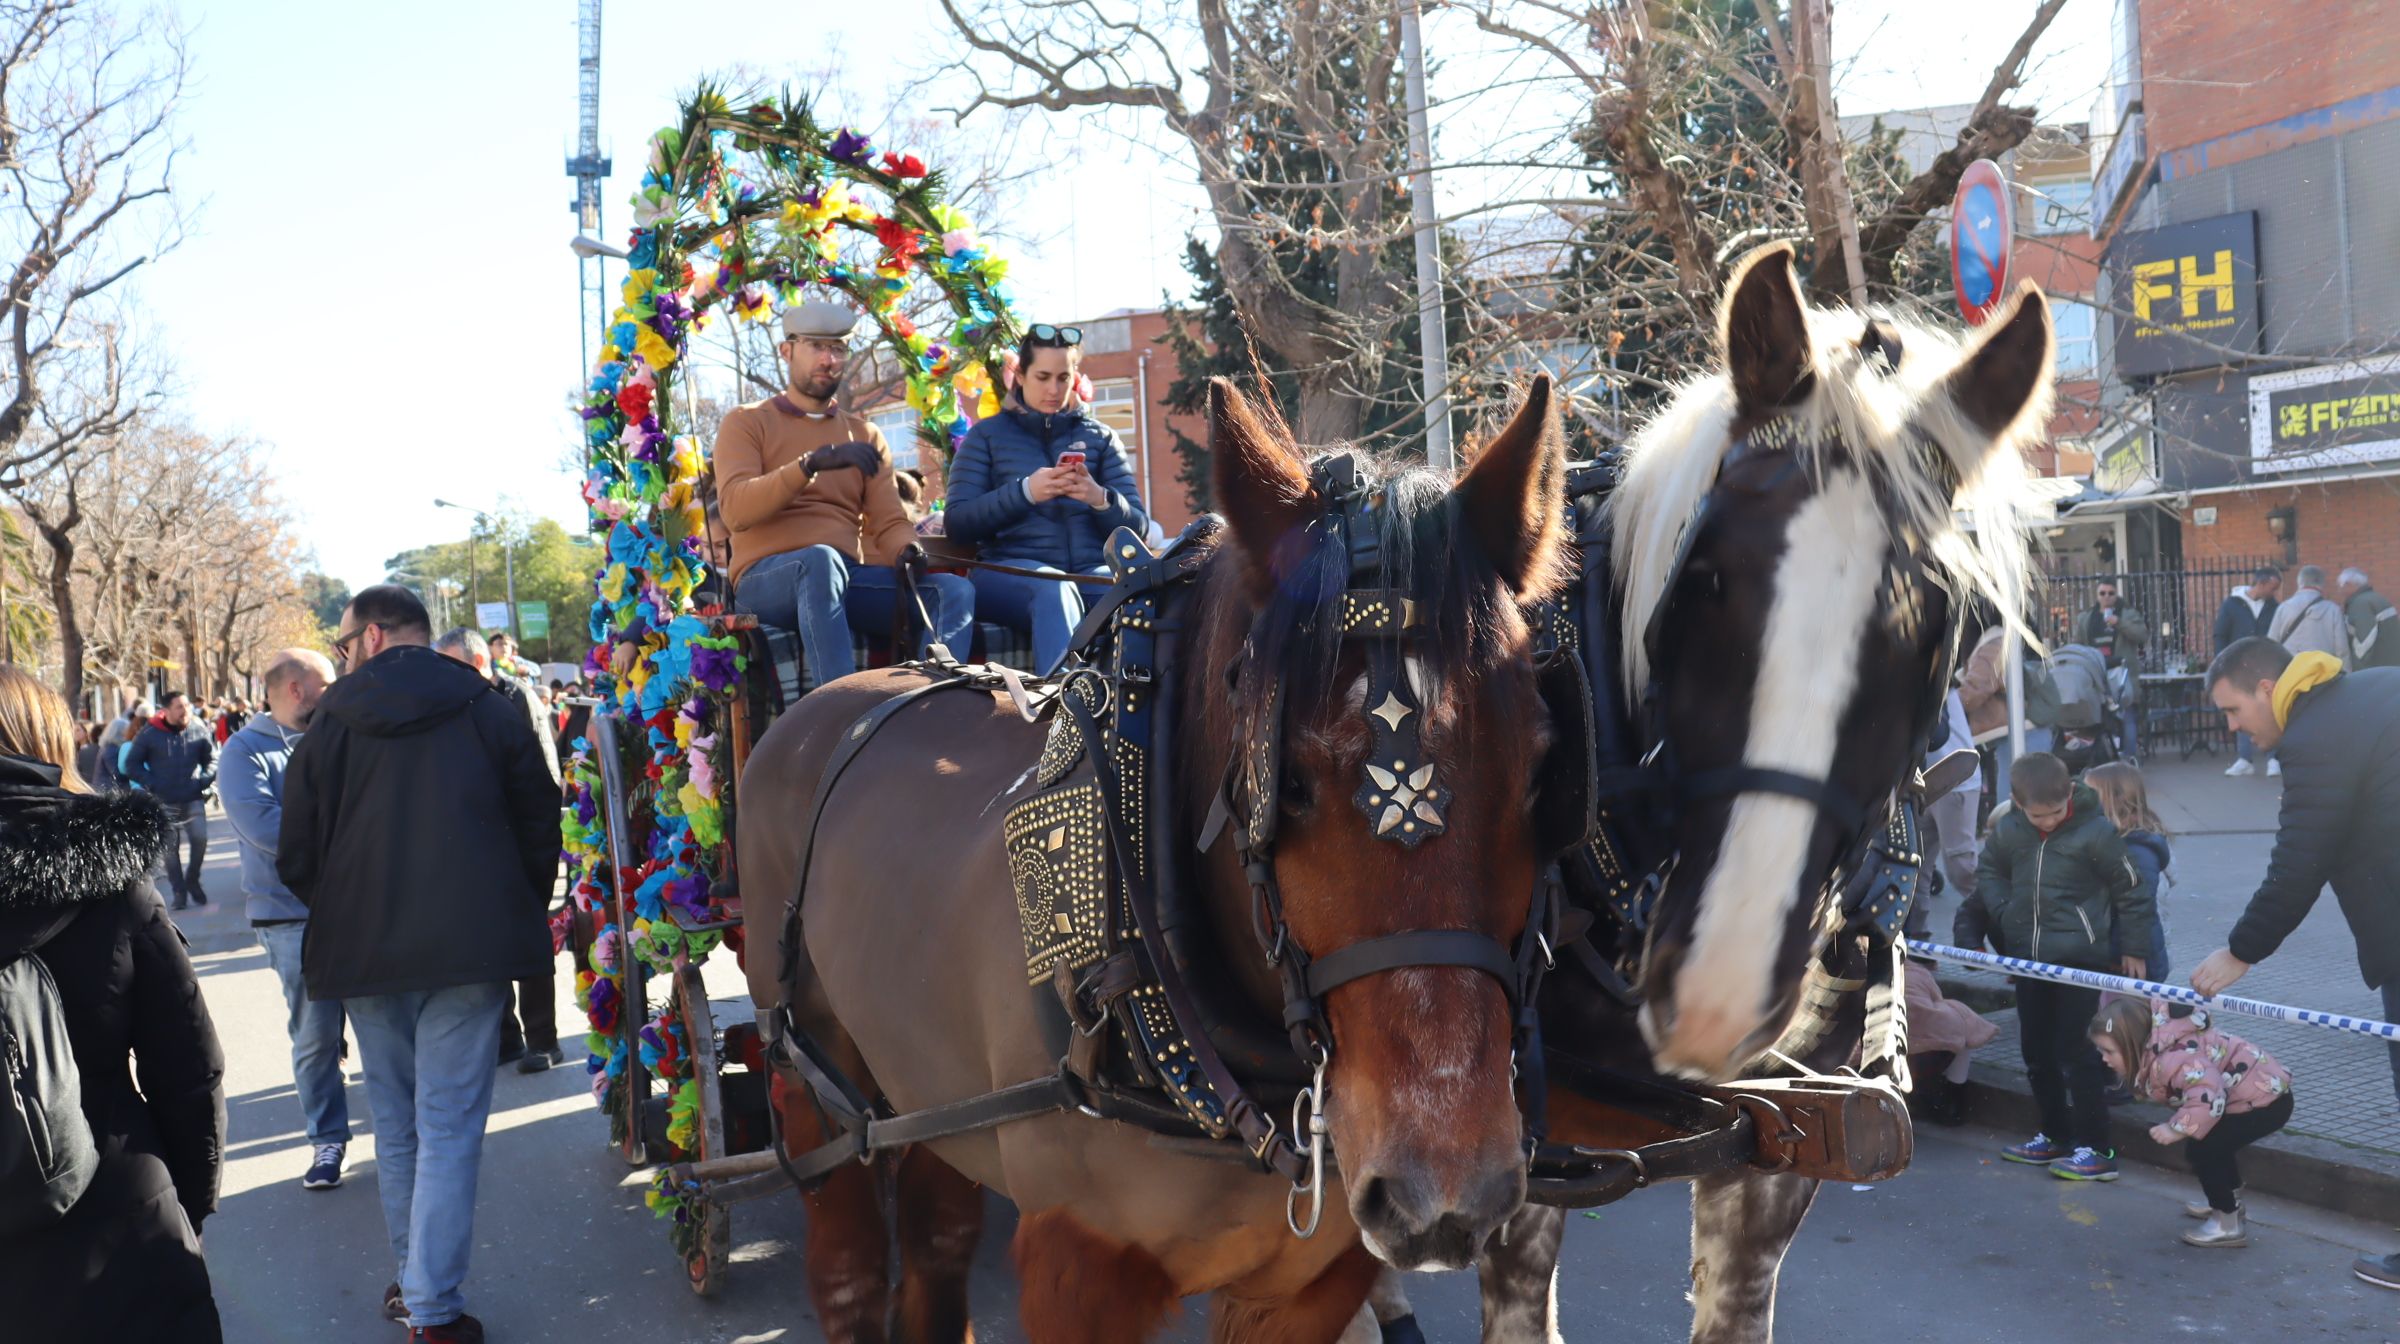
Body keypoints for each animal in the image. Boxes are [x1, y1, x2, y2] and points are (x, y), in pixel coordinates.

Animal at [744, 379, 1574, 1344]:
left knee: (936, 1239)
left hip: (922, 1096)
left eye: (1540, 773)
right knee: (846, 1261)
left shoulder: (1307, 1288)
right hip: (814, 1088)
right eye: (1285, 785)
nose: (1441, 1191)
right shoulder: (1078, 1266)